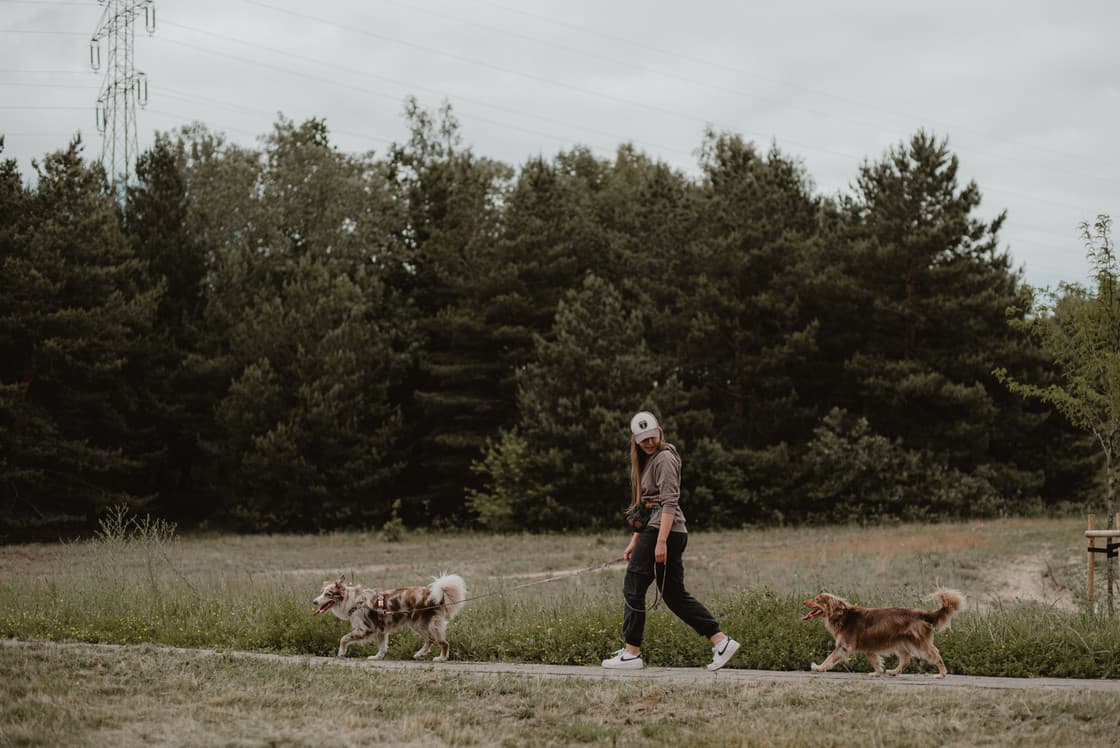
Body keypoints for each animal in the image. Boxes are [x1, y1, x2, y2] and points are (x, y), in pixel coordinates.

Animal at [801, 591, 967, 676]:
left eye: (817, 599)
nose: (804, 601)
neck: (841, 615)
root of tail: (923, 614)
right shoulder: (869, 647)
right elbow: (874, 660)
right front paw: (877, 673)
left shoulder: (844, 646)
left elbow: (830, 657)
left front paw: (819, 667)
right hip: (901, 641)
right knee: (906, 658)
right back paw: (894, 671)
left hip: (919, 642)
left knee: (935, 655)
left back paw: (942, 673)